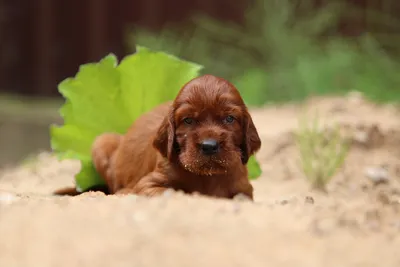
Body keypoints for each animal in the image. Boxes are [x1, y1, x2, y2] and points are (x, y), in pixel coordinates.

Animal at [54, 74, 262, 200]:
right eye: (188, 120)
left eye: (229, 118)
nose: (209, 145)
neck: (206, 176)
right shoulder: (148, 185)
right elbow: (175, 192)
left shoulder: (244, 190)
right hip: (102, 141)